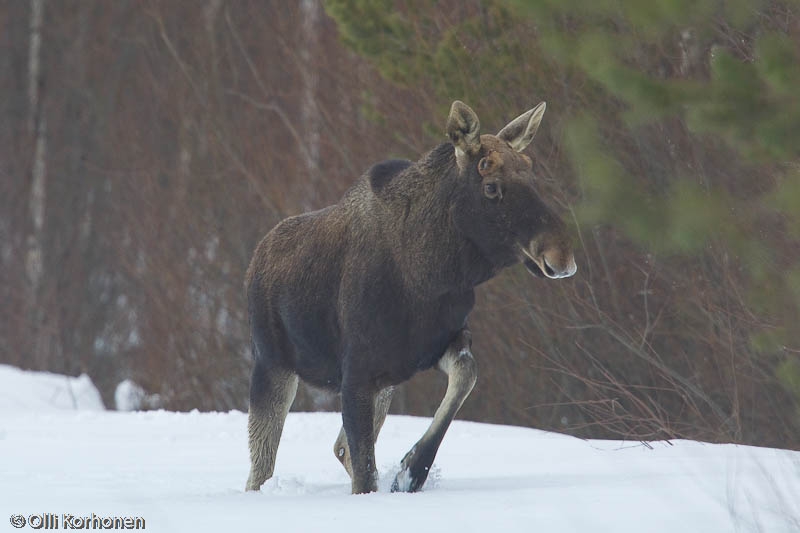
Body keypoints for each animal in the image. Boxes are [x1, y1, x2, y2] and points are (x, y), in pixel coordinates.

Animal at [244, 101, 576, 494]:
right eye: (492, 186)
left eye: (533, 176)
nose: (561, 257)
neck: (431, 275)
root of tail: (256, 258)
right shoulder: (356, 373)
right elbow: (364, 473)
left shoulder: (432, 346)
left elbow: (467, 374)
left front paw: (412, 469)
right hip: (272, 364)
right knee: (260, 469)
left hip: (379, 386)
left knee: (338, 448)